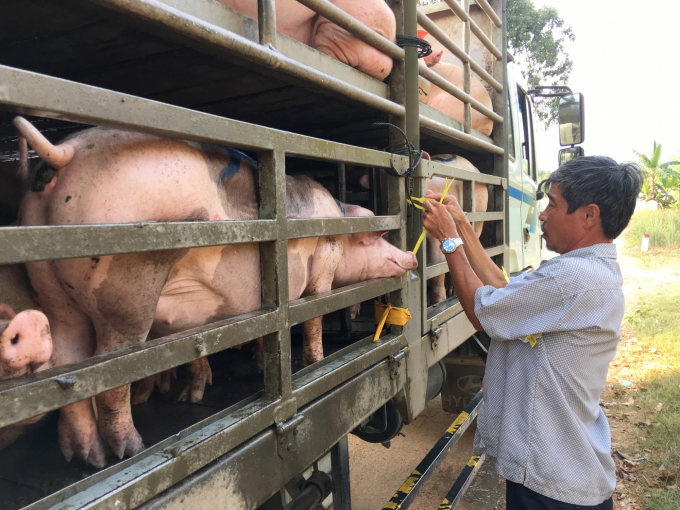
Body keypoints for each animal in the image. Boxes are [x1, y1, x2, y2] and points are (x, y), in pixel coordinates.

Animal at [13, 115, 418, 466]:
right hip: (126, 279)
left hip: (48, 284)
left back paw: (86, 457)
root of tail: (67, 152)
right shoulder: (323, 265)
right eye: (378, 241)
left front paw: (206, 389)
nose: (411, 258)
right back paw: (129, 451)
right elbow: (313, 315)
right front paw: (315, 363)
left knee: (67, 363)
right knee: (112, 371)